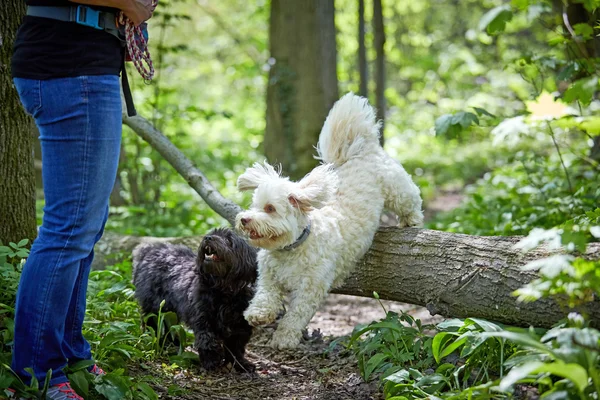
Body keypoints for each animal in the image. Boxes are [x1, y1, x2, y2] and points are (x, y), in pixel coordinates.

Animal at [132, 228, 258, 372]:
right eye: (212, 233)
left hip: (169, 311)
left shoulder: (240, 325)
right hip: (156, 306)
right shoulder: (203, 318)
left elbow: (236, 347)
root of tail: (150, 250)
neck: (223, 288)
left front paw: (241, 364)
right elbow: (207, 339)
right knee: (153, 323)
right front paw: (211, 361)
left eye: (228, 240)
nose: (208, 238)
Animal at [233, 92, 422, 348]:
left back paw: (412, 221)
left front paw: (284, 338)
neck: (292, 248)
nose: (244, 219)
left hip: (397, 189)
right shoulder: (269, 277)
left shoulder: (310, 288)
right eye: (253, 205)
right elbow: (265, 294)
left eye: (270, 208)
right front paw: (258, 313)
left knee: (411, 200)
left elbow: (295, 315)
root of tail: (360, 150)